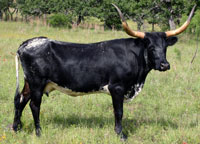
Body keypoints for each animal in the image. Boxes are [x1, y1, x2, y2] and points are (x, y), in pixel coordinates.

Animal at [12, 4, 195, 140]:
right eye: (150, 46)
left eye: (165, 47)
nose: (165, 65)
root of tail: (26, 43)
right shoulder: (117, 88)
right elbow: (119, 111)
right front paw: (121, 135)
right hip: (37, 83)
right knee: (34, 105)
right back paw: (38, 133)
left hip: (30, 82)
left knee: (20, 100)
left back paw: (16, 128)